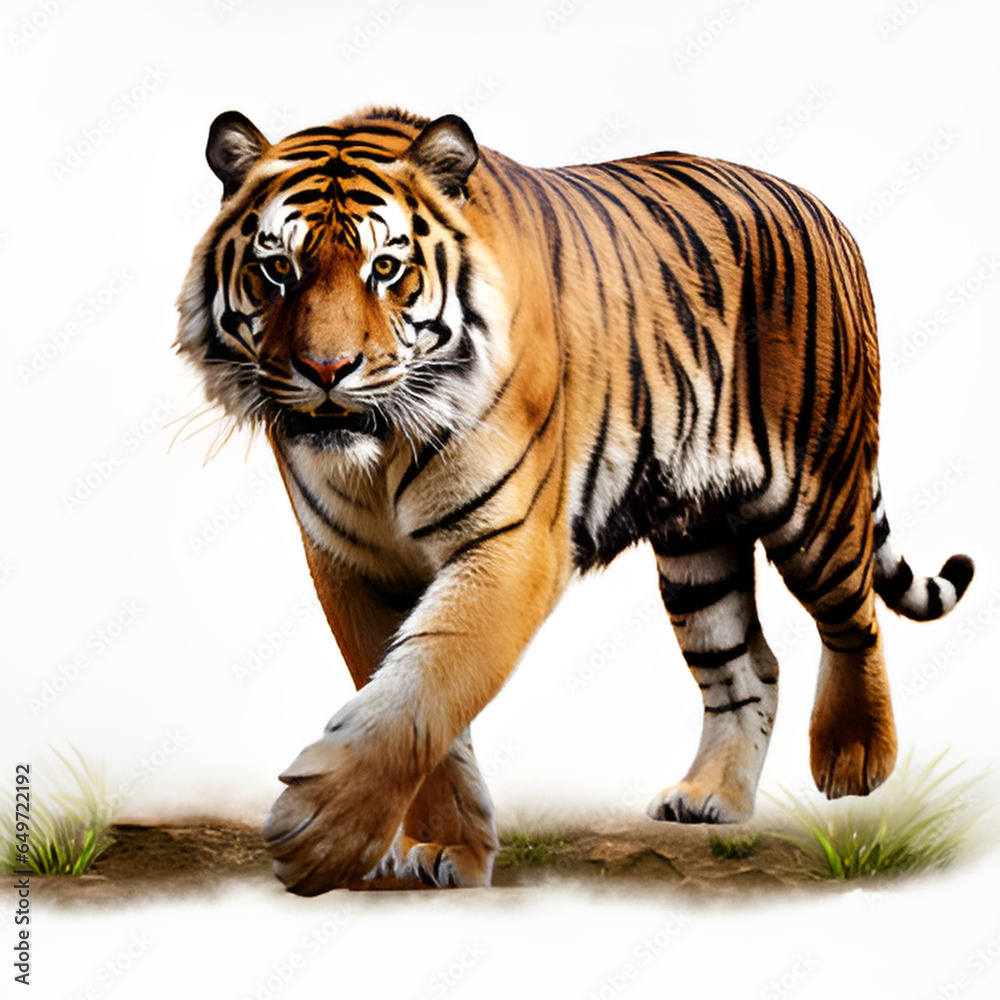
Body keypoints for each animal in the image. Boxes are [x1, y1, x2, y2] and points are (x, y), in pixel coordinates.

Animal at [176, 106, 975, 896]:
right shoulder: (349, 562)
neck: (379, 452)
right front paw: (441, 845)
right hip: (697, 543)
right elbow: (414, 703)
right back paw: (710, 797)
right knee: (747, 666)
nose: (326, 369)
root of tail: (821, 208)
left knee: (853, 616)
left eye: (387, 268)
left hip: (816, 494)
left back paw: (855, 760)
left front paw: (323, 836)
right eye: (278, 268)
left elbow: (424, 689)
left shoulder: (512, 542)